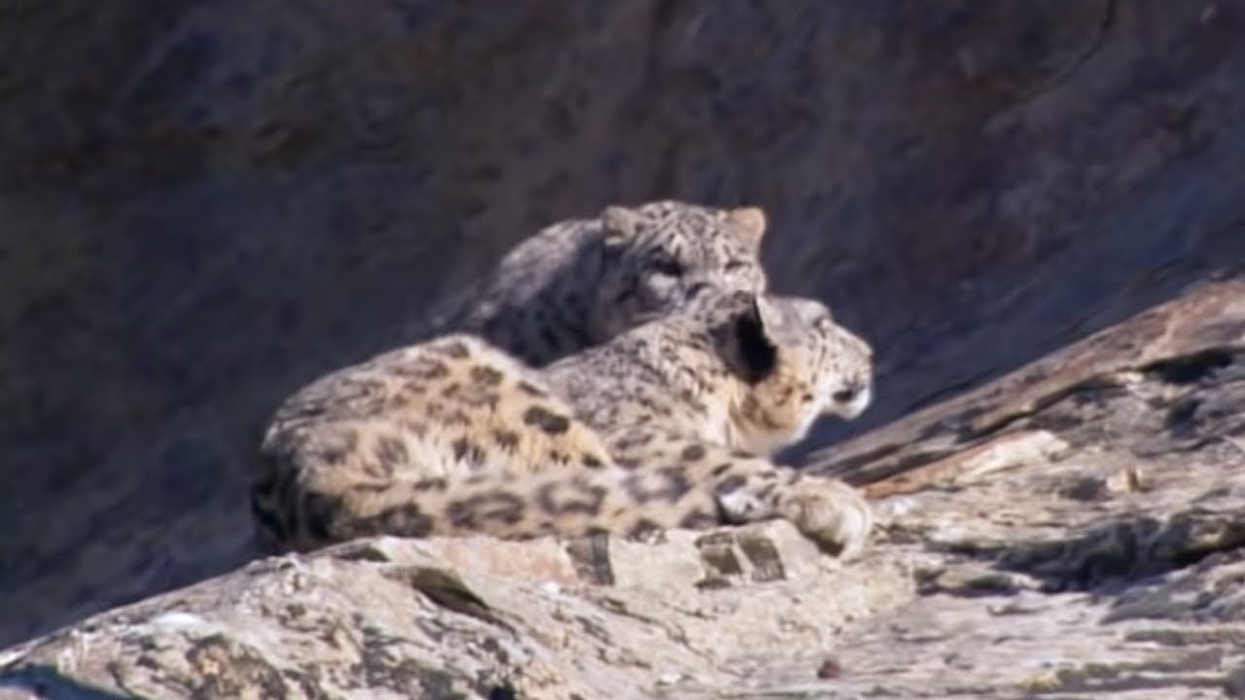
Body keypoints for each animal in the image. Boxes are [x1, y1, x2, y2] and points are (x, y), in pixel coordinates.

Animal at [251, 286, 876, 559]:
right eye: (824, 324)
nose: (870, 352)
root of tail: (300, 479)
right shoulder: (635, 433)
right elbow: (715, 457)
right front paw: (831, 499)